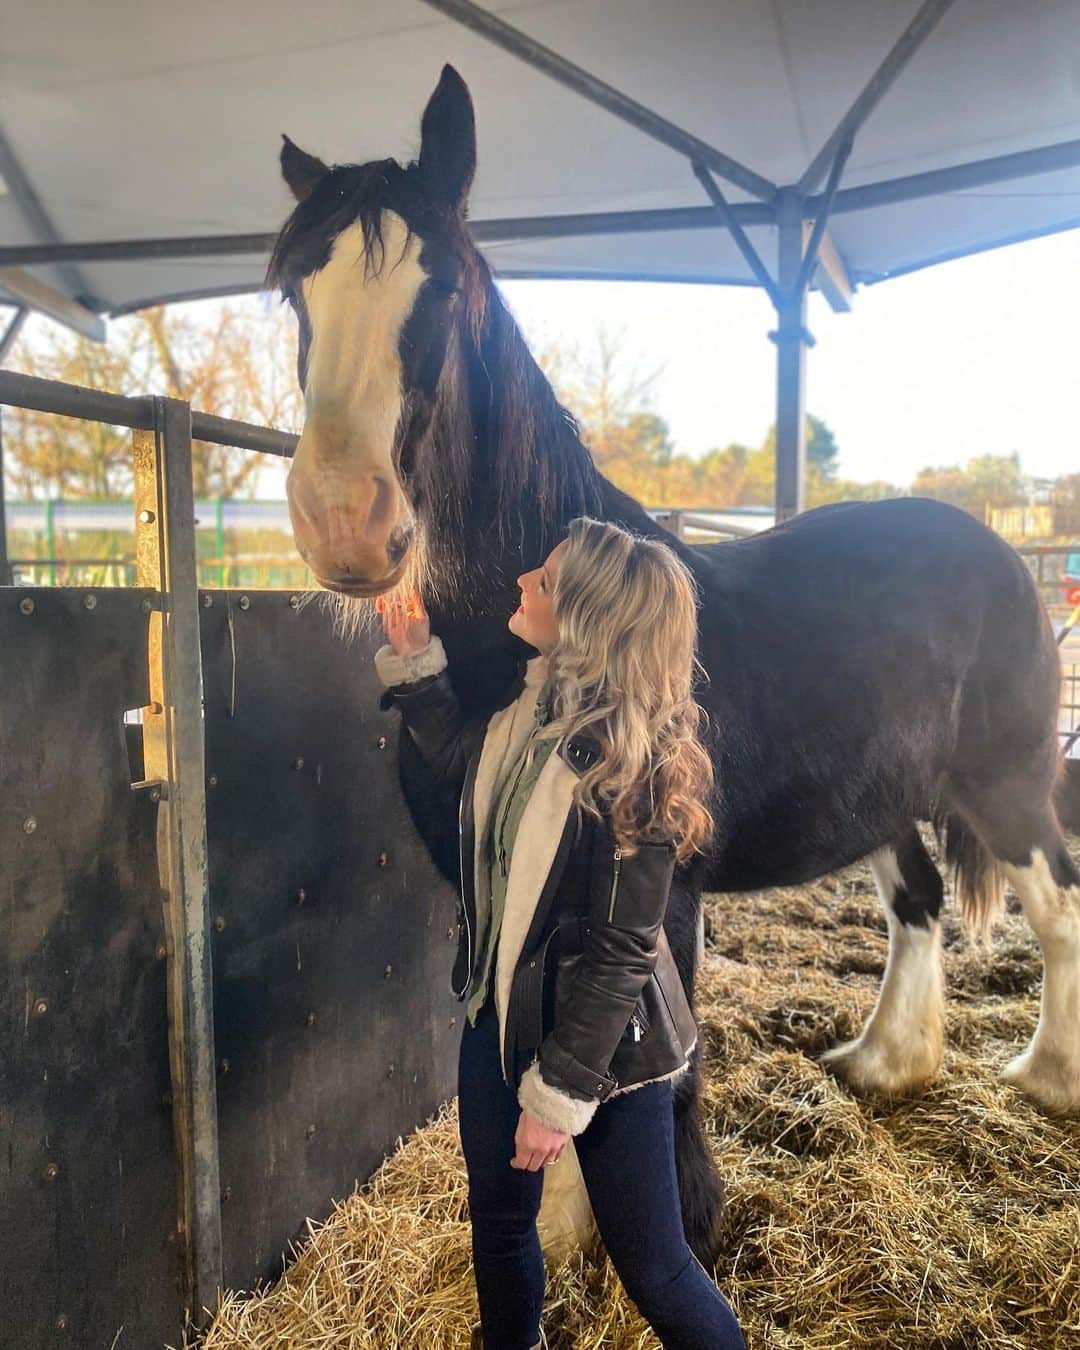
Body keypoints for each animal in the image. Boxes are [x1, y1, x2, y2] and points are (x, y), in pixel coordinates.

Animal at [270, 71, 1080, 1252]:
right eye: (297, 295)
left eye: (448, 291)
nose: (344, 521)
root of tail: (1005, 558)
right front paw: (565, 1225)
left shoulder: (662, 890)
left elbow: (651, 1061)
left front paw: (682, 1223)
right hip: (889, 799)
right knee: (920, 905)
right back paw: (885, 1063)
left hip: (1007, 785)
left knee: (1055, 908)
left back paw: (1048, 1078)